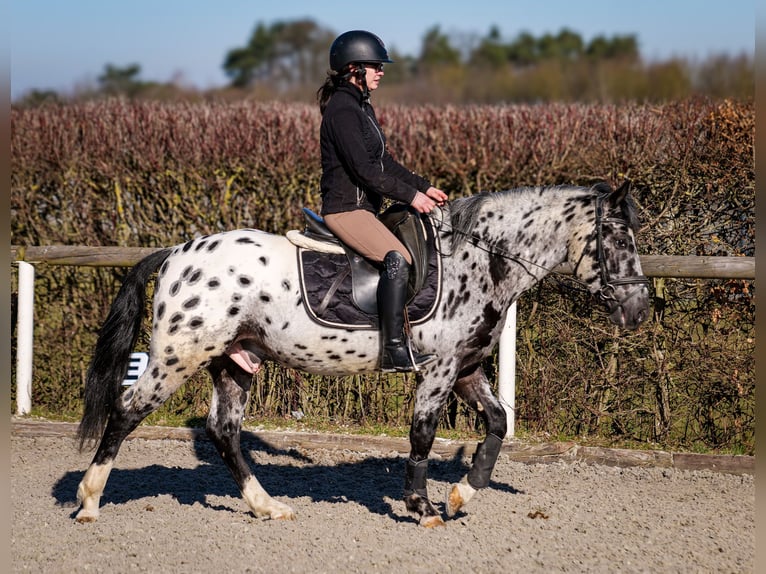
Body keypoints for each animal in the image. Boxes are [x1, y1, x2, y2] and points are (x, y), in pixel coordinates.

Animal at [76, 182, 648, 528]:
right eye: (618, 239)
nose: (639, 310)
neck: (482, 260)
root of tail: (175, 254)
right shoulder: (439, 368)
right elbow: (423, 434)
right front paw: (422, 507)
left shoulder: (466, 368)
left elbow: (499, 422)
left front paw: (463, 494)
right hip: (180, 354)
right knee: (126, 412)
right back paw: (88, 501)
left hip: (234, 361)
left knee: (224, 431)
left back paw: (267, 506)